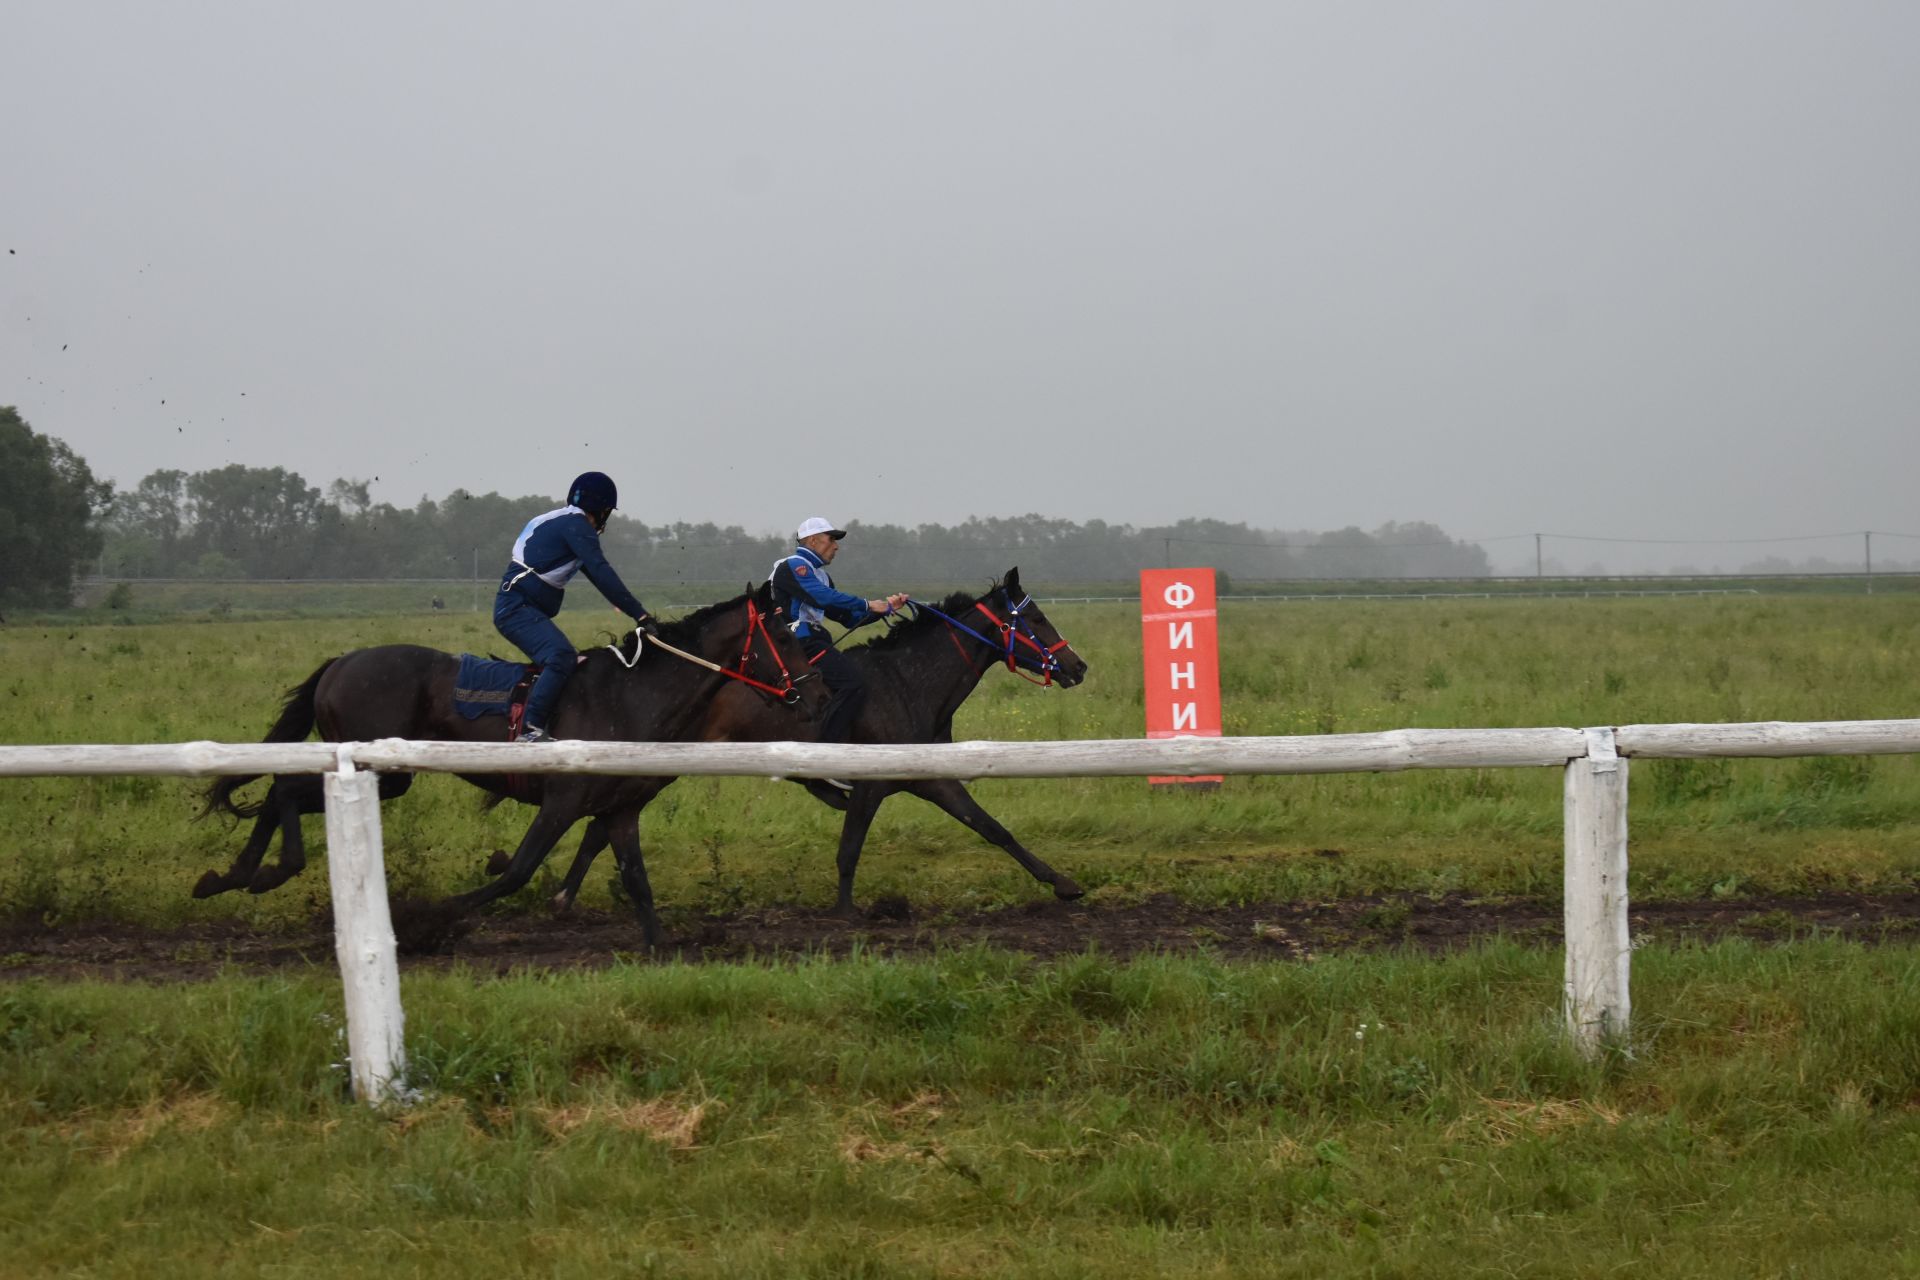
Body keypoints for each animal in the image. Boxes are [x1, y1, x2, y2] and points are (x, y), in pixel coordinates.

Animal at [196, 587, 825, 948]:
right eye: (786, 634)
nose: (815, 696)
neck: (631, 697)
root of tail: (341, 662)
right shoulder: (562, 803)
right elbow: (518, 870)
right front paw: (431, 919)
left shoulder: (620, 811)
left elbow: (639, 884)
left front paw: (660, 949)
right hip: (378, 760)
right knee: (286, 785)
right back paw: (265, 870)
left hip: (385, 771)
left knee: (285, 788)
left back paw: (238, 873)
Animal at [541, 571, 1098, 921]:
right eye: (1036, 619)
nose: (1077, 666)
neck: (907, 681)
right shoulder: (872, 785)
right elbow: (849, 850)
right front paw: (846, 911)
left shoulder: (931, 776)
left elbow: (993, 828)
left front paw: (1063, 884)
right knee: (601, 823)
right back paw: (563, 896)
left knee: (602, 824)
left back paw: (564, 897)